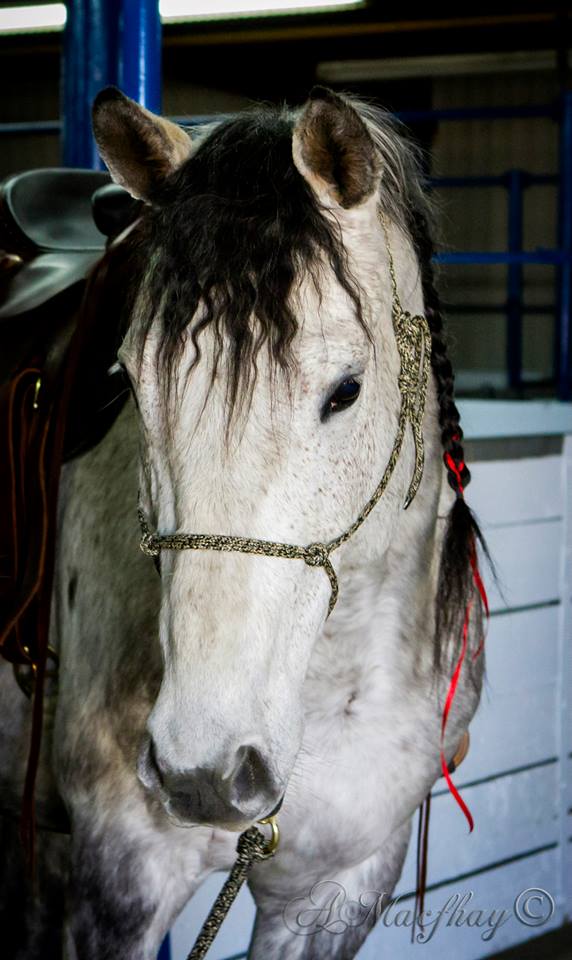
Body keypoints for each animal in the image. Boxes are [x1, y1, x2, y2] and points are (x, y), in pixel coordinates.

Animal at [0, 85, 487, 960]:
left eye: (346, 390)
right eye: (128, 382)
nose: (203, 772)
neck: (321, 698)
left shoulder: (336, 892)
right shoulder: (119, 884)